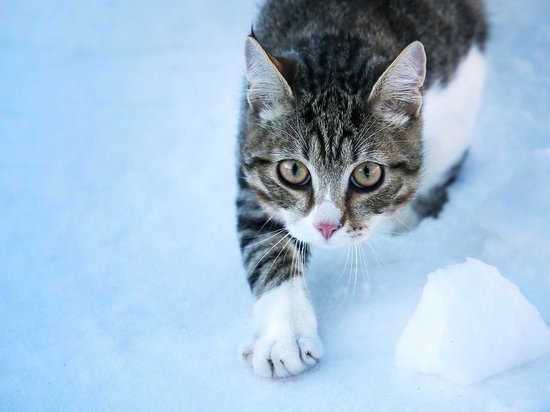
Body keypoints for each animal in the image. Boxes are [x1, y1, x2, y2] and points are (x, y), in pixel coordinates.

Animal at [235, 0, 490, 376]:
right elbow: (266, 241)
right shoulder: (250, 151)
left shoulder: (463, 75)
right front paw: (285, 337)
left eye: (367, 173)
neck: (344, 32)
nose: (326, 227)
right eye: (293, 170)